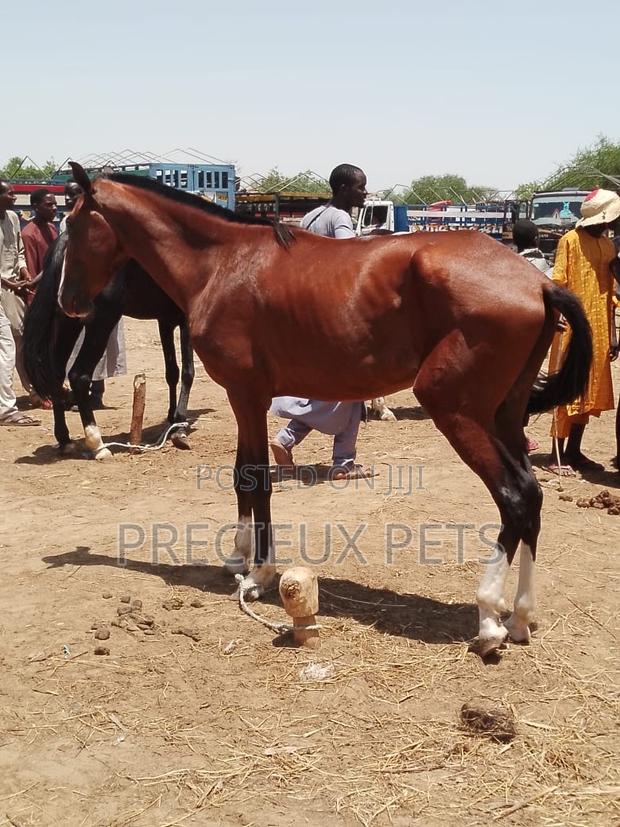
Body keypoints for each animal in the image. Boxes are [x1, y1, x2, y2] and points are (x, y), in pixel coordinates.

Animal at [24, 232, 195, 460]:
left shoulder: (165, 320)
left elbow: (172, 373)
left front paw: (172, 418)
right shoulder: (185, 319)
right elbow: (187, 372)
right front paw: (180, 426)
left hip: (68, 323)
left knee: (57, 375)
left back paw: (65, 440)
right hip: (102, 321)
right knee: (79, 375)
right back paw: (97, 444)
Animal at [58, 161, 592, 656]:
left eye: (77, 224)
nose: (68, 302)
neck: (223, 262)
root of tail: (537, 283)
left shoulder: (246, 394)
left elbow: (255, 477)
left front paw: (261, 572)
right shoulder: (244, 397)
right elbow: (242, 473)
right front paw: (239, 558)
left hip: (455, 410)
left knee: (514, 497)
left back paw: (488, 619)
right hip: (504, 416)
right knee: (532, 497)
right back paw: (520, 617)